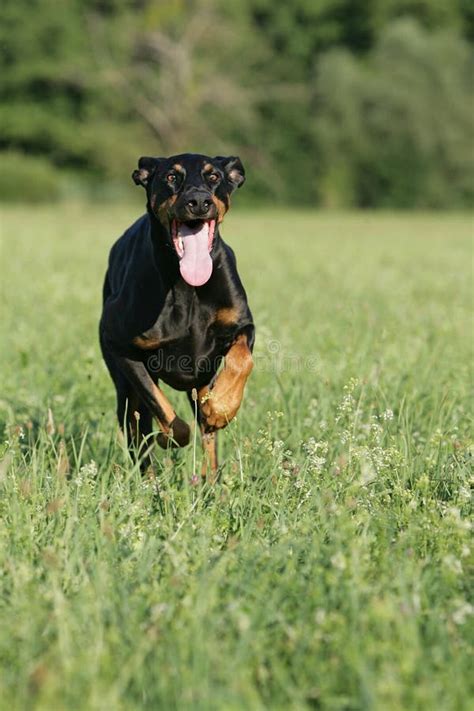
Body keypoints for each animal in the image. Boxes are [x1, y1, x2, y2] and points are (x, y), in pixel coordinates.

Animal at [99, 153, 256, 476]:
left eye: (213, 176)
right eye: (171, 177)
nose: (198, 201)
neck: (186, 286)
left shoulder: (242, 325)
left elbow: (242, 359)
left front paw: (221, 408)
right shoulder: (118, 342)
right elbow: (164, 411)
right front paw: (169, 437)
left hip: (202, 379)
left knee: (207, 438)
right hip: (124, 391)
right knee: (138, 431)